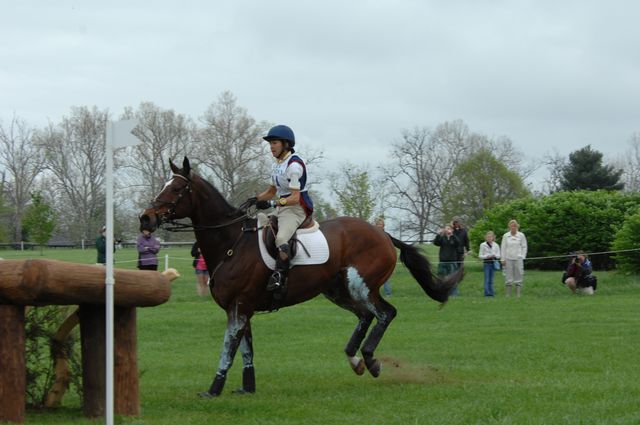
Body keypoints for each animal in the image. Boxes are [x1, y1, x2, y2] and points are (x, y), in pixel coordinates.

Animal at [140, 157, 462, 398]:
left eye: (177, 188)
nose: (146, 218)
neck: (231, 243)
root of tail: (382, 233)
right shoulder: (241, 309)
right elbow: (245, 350)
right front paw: (247, 388)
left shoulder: (240, 307)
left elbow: (228, 349)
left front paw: (213, 390)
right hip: (337, 290)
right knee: (365, 316)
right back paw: (356, 359)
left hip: (362, 285)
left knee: (385, 313)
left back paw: (370, 359)